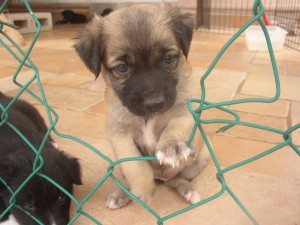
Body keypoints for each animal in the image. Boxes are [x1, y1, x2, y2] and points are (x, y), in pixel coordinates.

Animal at [74, 3, 210, 209]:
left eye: (168, 59)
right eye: (122, 68)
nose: (155, 103)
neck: (147, 118)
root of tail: (160, 177)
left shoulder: (185, 112)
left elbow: (176, 127)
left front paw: (171, 146)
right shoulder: (119, 133)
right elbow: (135, 165)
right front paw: (142, 190)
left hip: (199, 160)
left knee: (176, 178)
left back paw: (188, 190)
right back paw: (123, 193)